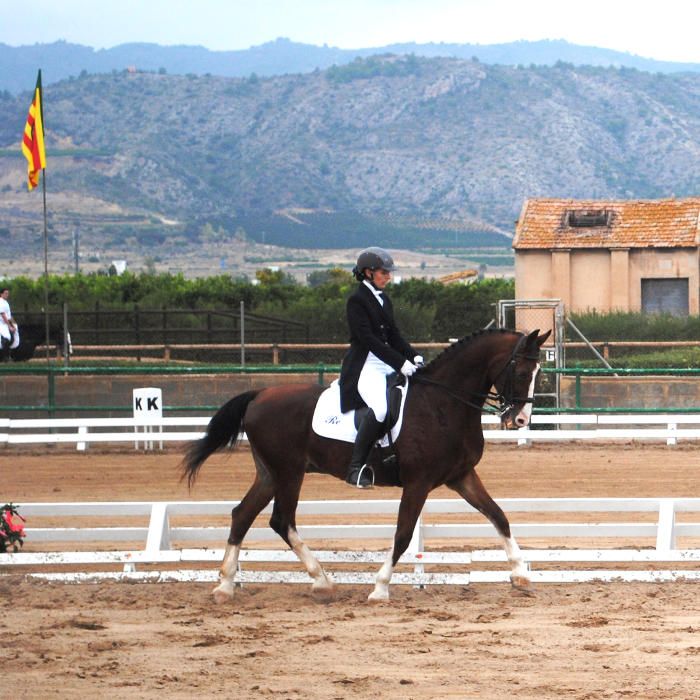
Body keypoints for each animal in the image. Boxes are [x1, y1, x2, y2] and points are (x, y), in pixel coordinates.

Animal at [182, 328, 552, 600]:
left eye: (539, 372)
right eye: (521, 371)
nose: (519, 420)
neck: (443, 403)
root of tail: (259, 394)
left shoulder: (461, 476)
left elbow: (499, 516)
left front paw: (520, 574)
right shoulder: (418, 482)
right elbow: (403, 535)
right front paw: (380, 587)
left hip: (270, 474)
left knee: (242, 514)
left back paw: (226, 586)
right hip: (288, 473)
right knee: (281, 520)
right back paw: (321, 581)